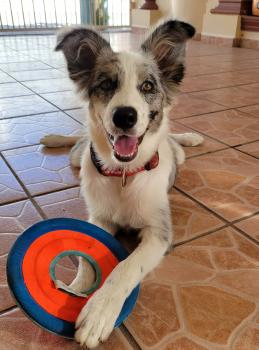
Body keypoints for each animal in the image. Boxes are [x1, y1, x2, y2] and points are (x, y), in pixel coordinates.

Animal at [40, 21, 204, 348]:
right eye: (106, 84)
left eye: (148, 87)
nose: (125, 116)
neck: (125, 175)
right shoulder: (99, 218)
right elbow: (86, 254)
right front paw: (77, 287)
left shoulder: (159, 233)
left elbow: (127, 267)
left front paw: (99, 311)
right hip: (78, 157)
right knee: (77, 140)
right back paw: (53, 138)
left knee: (174, 138)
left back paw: (189, 137)